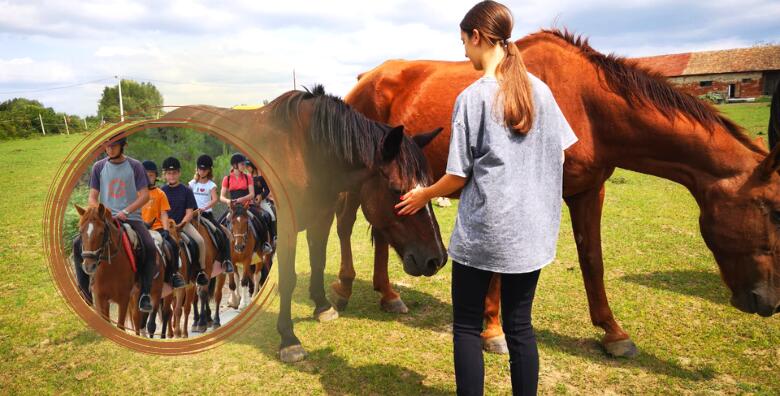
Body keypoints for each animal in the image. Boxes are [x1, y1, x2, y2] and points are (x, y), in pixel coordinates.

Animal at [75, 204, 165, 334]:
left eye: (101, 232)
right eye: (81, 232)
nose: (89, 266)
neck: (110, 268)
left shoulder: (124, 298)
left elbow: (120, 326)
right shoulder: (100, 298)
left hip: (153, 292)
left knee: (144, 319)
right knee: (136, 318)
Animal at [158, 85, 448, 364]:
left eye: (429, 184)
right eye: (397, 189)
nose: (437, 259)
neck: (305, 152)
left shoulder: (322, 217)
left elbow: (318, 262)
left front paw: (322, 306)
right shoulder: (285, 228)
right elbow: (288, 278)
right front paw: (289, 339)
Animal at [334, 28, 780, 358]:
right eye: (773, 210)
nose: (769, 301)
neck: (584, 103)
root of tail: (364, 80)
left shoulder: (589, 192)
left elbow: (592, 261)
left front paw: (614, 333)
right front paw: (493, 331)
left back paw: (389, 294)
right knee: (345, 225)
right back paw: (342, 289)